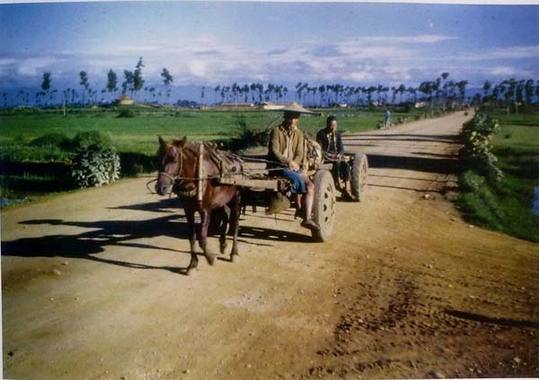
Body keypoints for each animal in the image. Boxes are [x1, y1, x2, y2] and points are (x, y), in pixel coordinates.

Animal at [155, 135, 242, 274]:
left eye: (174, 160)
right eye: (158, 159)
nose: (160, 188)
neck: (197, 180)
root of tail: (237, 159)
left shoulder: (205, 211)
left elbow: (202, 238)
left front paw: (210, 258)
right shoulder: (189, 210)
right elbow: (192, 237)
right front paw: (192, 264)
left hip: (236, 198)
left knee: (235, 221)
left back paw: (234, 253)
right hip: (220, 202)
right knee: (225, 216)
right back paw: (223, 244)